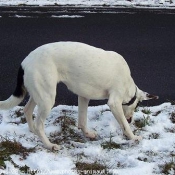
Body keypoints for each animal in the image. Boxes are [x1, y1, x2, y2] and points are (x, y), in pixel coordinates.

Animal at [0, 41, 158, 150]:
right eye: (136, 106)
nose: (131, 119)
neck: (128, 85)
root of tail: (25, 61)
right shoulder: (114, 103)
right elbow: (124, 125)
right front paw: (133, 137)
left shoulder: (83, 96)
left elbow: (82, 121)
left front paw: (87, 134)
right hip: (47, 98)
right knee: (39, 124)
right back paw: (49, 145)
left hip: (39, 93)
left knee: (27, 110)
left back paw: (33, 131)